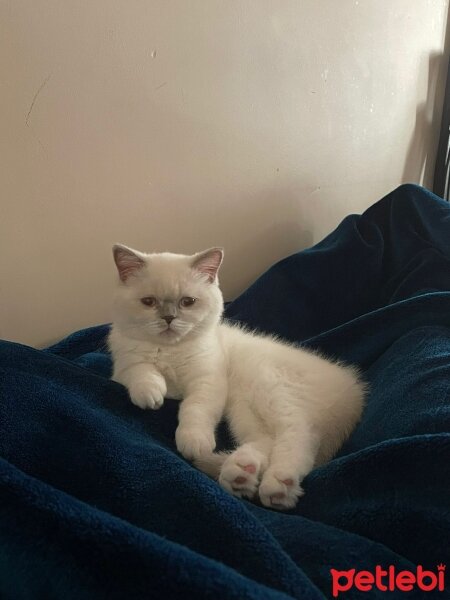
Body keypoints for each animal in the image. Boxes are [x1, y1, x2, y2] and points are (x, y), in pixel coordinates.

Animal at [108, 244, 366, 510]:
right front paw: (151, 394)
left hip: (270, 387)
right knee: (269, 441)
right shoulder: (124, 366)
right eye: (148, 302)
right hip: (243, 412)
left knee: (299, 434)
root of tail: (353, 391)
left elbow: (194, 409)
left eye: (188, 302)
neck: (170, 350)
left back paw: (278, 484)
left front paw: (194, 441)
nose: (169, 318)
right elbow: (141, 371)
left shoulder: (207, 381)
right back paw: (241, 472)